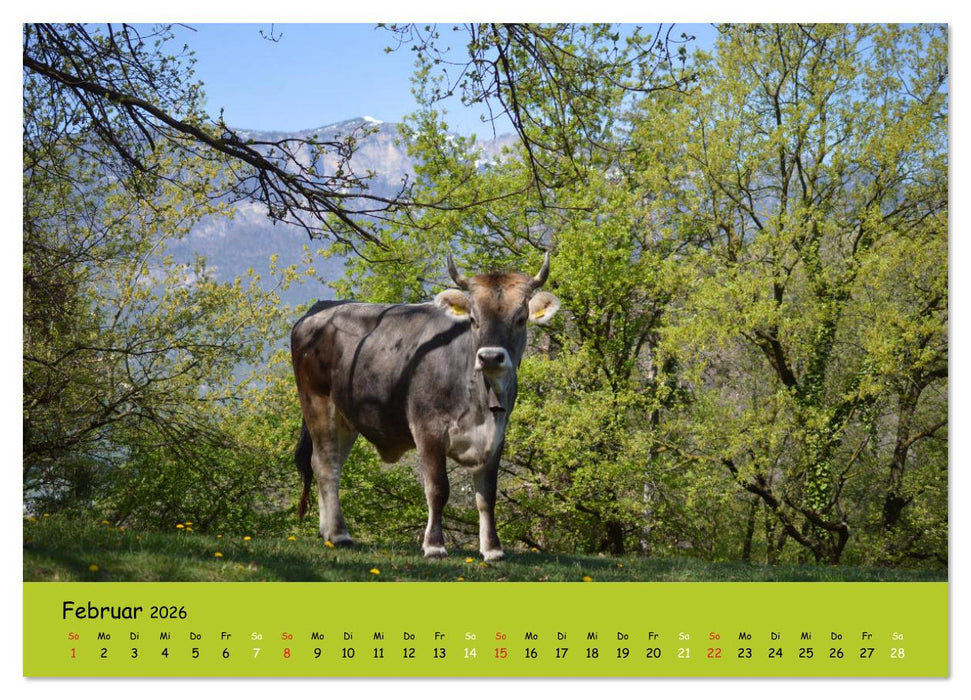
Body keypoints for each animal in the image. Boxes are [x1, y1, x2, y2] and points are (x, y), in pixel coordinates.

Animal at [291, 253, 560, 561]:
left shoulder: (496, 437)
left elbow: (487, 496)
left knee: (329, 463)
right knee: (325, 465)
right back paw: (339, 533)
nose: (491, 357)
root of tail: (320, 309)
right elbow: (437, 488)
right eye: (473, 319)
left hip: (346, 418)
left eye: (520, 318)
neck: (481, 401)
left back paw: (327, 532)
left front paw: (492, 549)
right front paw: (434, 545)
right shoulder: (427, 429)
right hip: (317, 402)